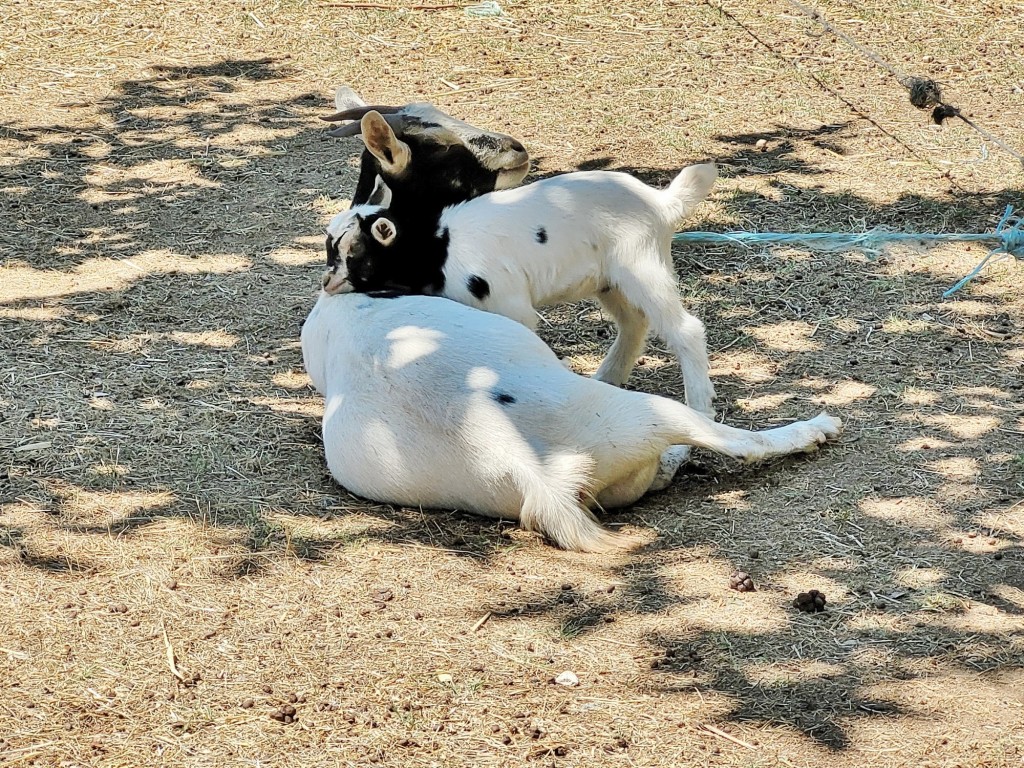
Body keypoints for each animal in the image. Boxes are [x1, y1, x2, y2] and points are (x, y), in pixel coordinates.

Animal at [323, 154, 716, 417]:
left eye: (353, 252)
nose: (327, 282)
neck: (438, 246)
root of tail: (661, 202)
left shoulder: (508, 304)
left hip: (641, 265)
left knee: (684, 328)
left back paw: (700, 405)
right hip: (611, 279)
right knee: (634, 323)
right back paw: (606, 378)